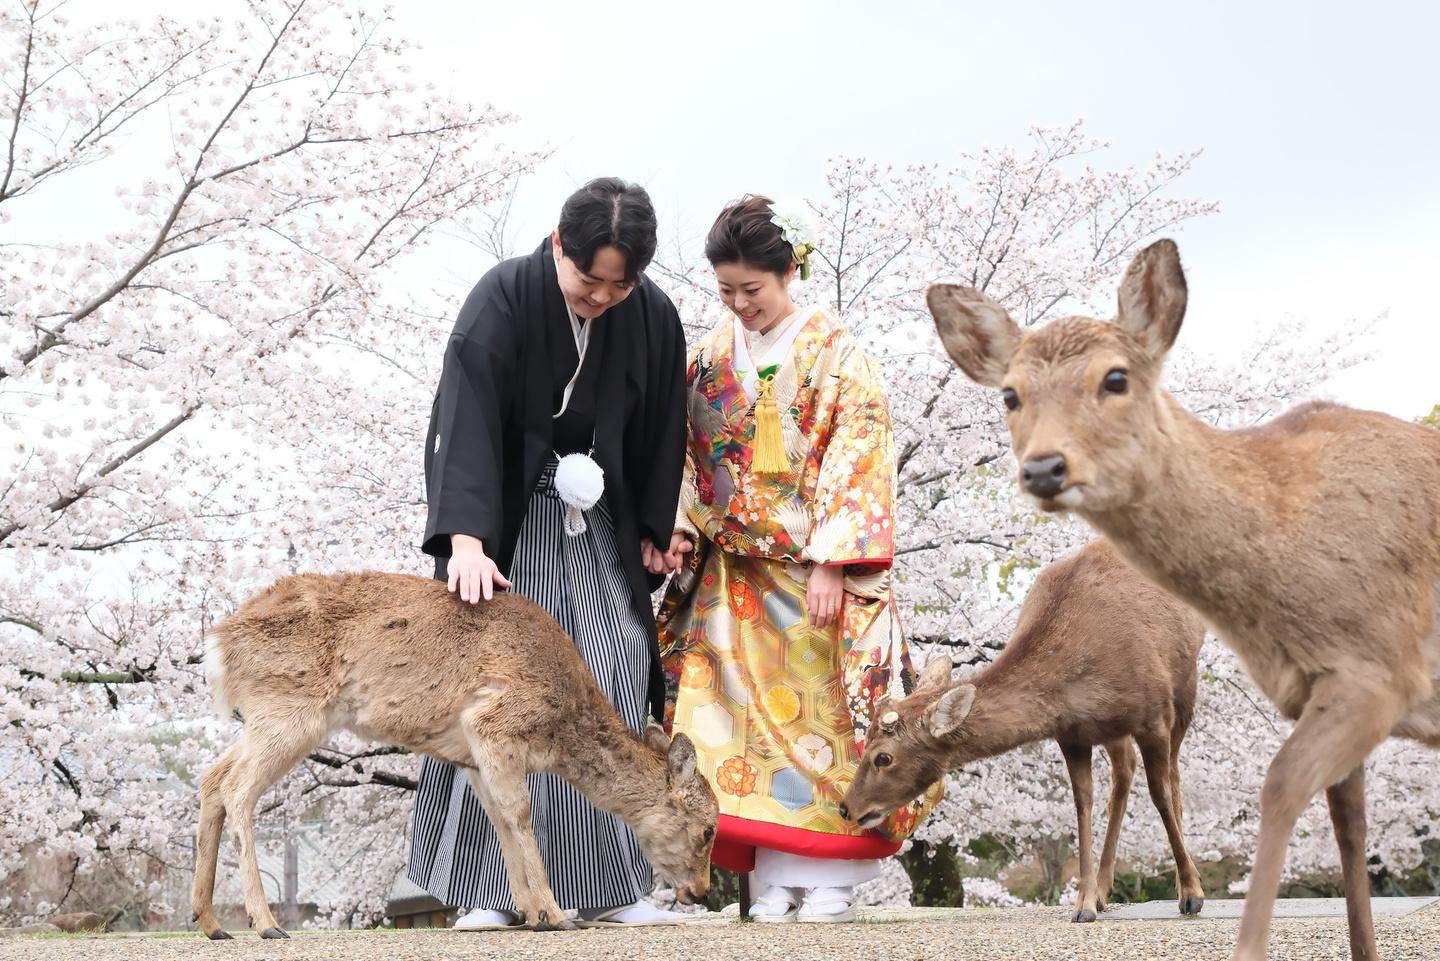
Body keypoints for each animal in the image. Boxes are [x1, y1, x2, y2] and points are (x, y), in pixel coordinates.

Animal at [188, 570, 717, 939]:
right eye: (710, 829)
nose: (702, 890)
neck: (560, 726)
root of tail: (216, 645)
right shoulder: (496, 722)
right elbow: (521, 814)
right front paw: (557, 914)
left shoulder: (471, 755)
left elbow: (501, 821)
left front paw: (531, 913)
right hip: (290, 710)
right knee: (237, 790)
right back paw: (265, 923)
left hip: (266, 715)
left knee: (211, 778)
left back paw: (211, 922)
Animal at [840, 541, 1209, 922]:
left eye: (883, 757)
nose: (846, 808)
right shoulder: (1073, 734)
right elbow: (1082, 803)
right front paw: (1084, 902)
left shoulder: (1155, 713)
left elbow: (1160, 793)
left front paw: (1192, 891)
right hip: (1115, 729)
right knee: (1124, 772)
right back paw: (1104, 888)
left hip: (1185, 686)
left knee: (1173, 774)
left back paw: (1185, 885)